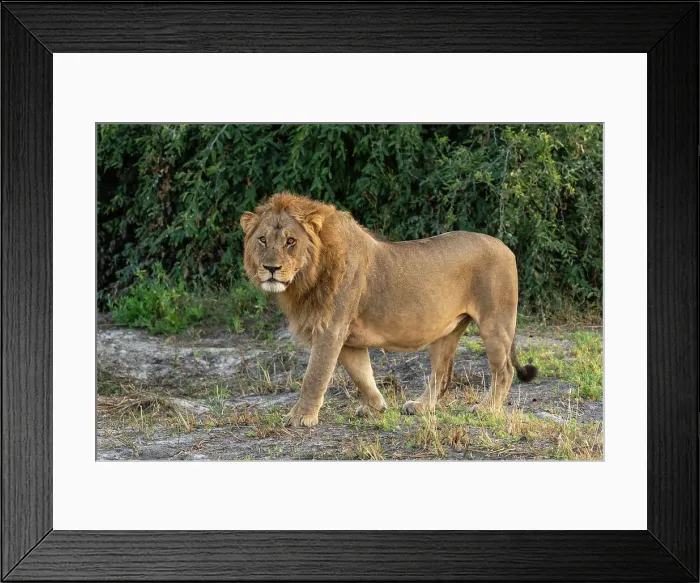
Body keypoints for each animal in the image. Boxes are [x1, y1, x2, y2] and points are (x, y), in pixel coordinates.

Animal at [240, 192, 537, 427]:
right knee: (441, 374)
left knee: (504, 371)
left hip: (495, 324)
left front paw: (300, 417)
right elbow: (362, 375)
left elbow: (314, 376)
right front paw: (376, 407)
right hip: (446, 331)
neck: (306, 278)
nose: (270, 268)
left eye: (291, 241)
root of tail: (505, 247)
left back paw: (487, 409)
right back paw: (420, 407)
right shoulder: (348, 339)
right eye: (262, 240)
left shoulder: (330, 330)